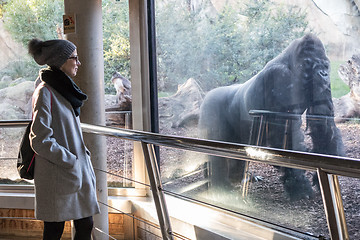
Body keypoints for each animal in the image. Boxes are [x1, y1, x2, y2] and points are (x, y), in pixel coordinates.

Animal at [198, 32, 344, 200]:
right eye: (313, 64)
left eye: (325, 65)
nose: (324, 74)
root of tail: (207, 95)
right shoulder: (279, 76)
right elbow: (283, 136)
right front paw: (300, 188)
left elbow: (323, 125)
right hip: (210, 107)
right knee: (216, 151)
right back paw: (220, 186)